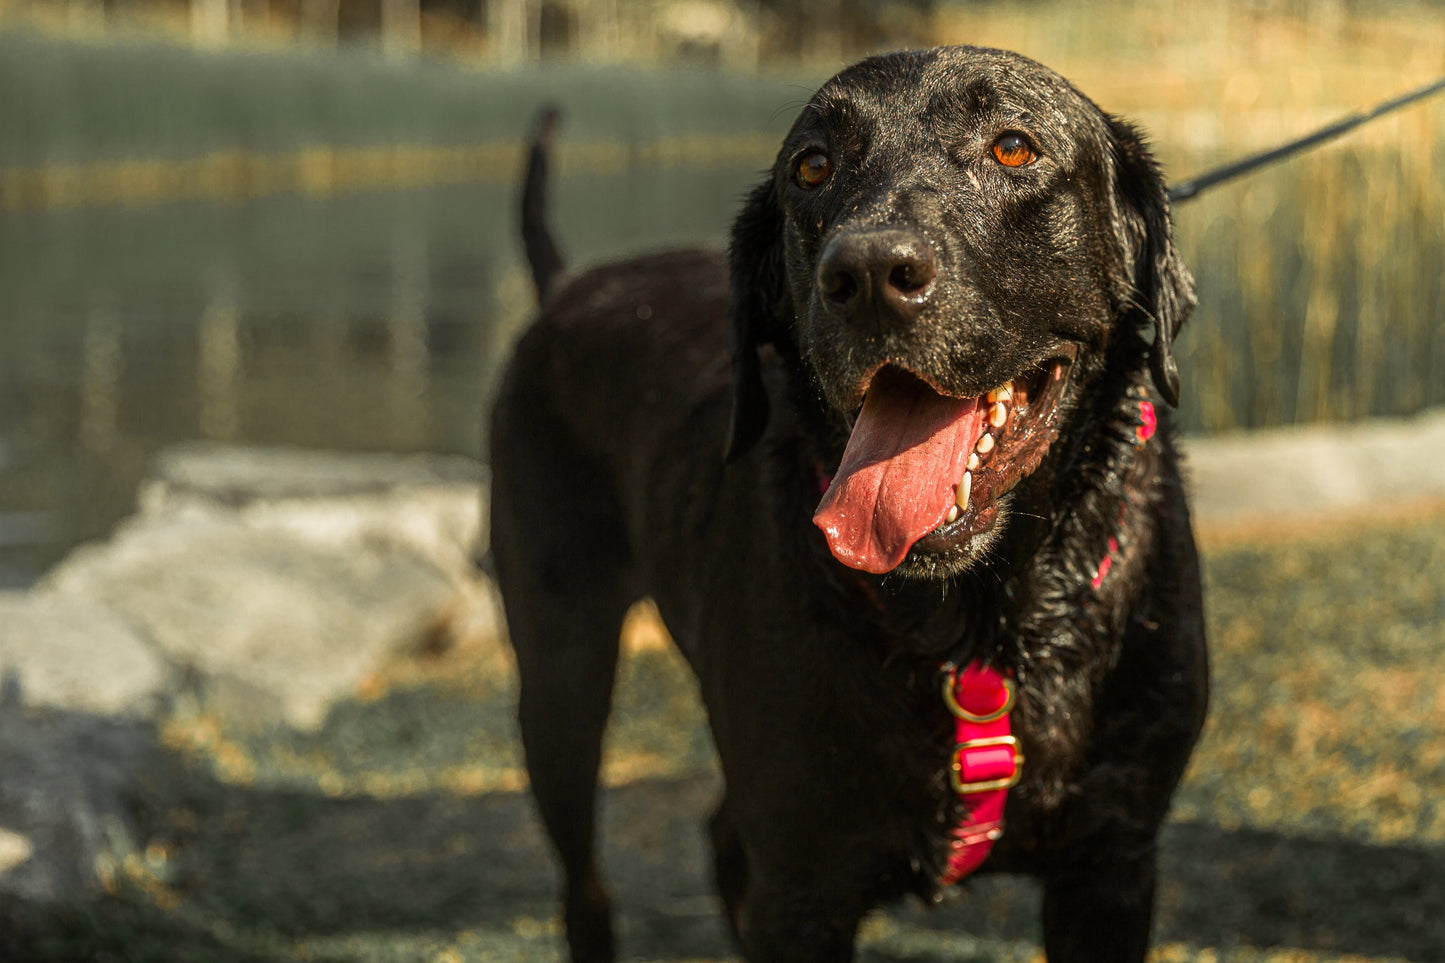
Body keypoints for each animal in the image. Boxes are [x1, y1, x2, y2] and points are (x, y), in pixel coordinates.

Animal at [491, 46, 1213, 960]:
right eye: (812, 166)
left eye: (1013, 147)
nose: (868, 272)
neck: (981, 632)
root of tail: (568, 287)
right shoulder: (803, 885)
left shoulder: (1110, 863)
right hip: (561, 673)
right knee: (585, 882)